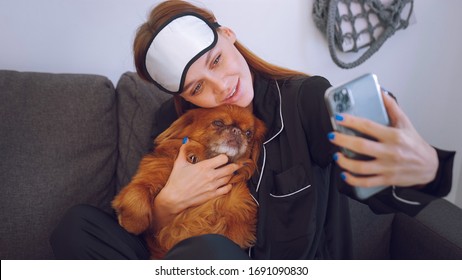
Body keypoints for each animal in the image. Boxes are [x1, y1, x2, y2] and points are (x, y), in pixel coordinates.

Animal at [110, 104, 266, 258]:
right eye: (218, 123)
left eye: (248, 133)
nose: (237, 131)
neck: (208, 159)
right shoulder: (149, 177)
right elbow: (136, 196)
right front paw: (132, 223)